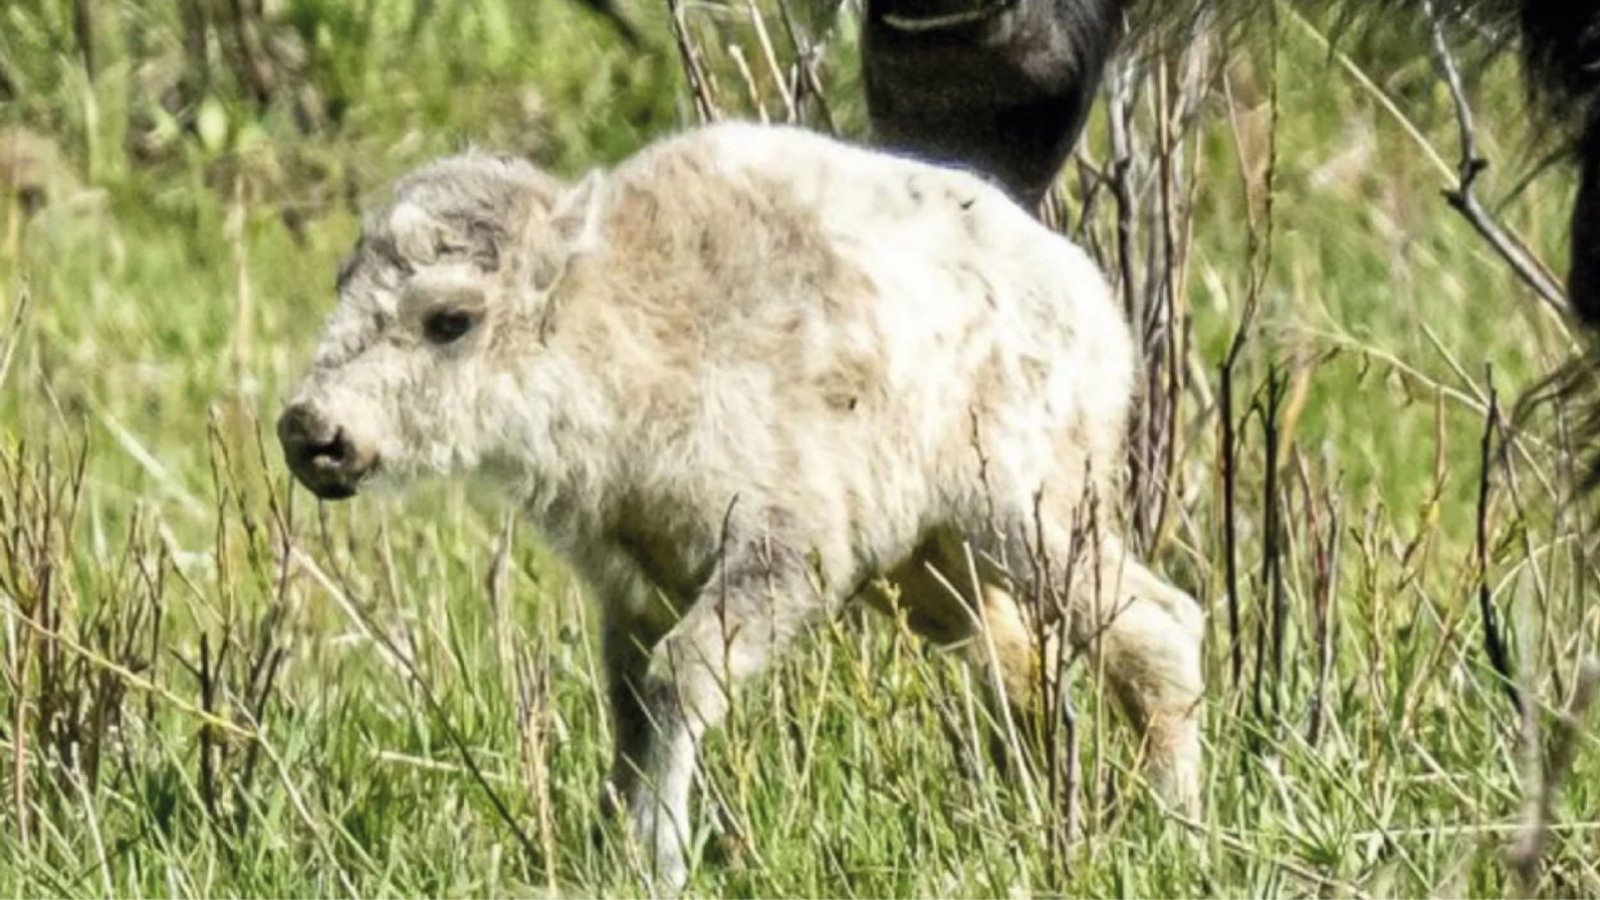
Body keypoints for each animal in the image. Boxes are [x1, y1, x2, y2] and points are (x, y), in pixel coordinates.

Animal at [278, 120, 1203, 883]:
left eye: (450, 320)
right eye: (343, 285)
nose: (312, 432)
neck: (628, 323)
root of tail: (1091, 301)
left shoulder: (782, 555)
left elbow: (678, 681)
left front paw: (660, 859)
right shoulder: (634, 587)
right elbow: (629, 711)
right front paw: (609, 849)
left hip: (1028, 514)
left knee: (1156, 627)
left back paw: (1172, 825)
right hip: (936, 571)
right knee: (1023, 668)